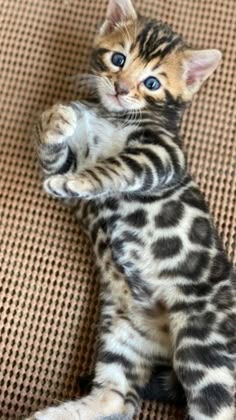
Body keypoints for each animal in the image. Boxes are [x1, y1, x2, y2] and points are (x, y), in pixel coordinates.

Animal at [27, 0, 234, 420]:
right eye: (118, 59)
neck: (114, 116)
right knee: (117, 398)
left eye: (152, 83)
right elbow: (52, 143)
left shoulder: (163, 155)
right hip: (123, 331)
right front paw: (57, 117)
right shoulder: (69, 159)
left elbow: (117, 166)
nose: (121, 89)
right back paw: (51, 414)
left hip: (201, 339)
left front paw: (77, 182)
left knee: (215, 404)